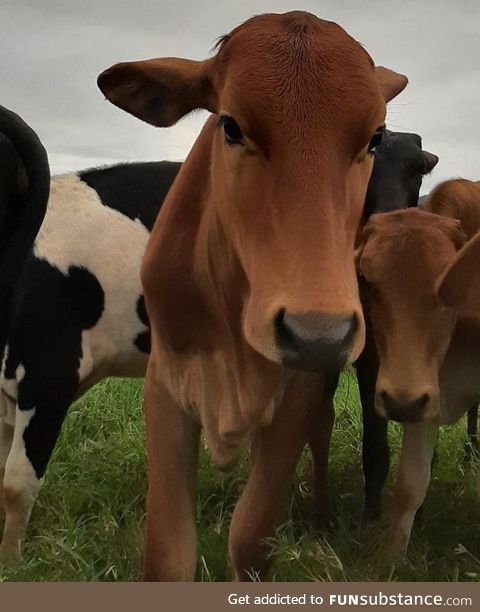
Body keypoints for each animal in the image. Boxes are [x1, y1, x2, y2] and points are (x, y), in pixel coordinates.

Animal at [99, 11, 406, 580]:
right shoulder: (165, 385)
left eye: (374, 137)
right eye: (231, 126)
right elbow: (167, 553)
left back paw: (317, 515)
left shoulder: (298, 393)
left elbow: (250, 537)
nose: (317, 334)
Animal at [358, 180, 480, 556]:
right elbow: (409, 486)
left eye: (446, 284)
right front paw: (390, 560)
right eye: (368, 281)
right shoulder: (424, 395)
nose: (400, 403)